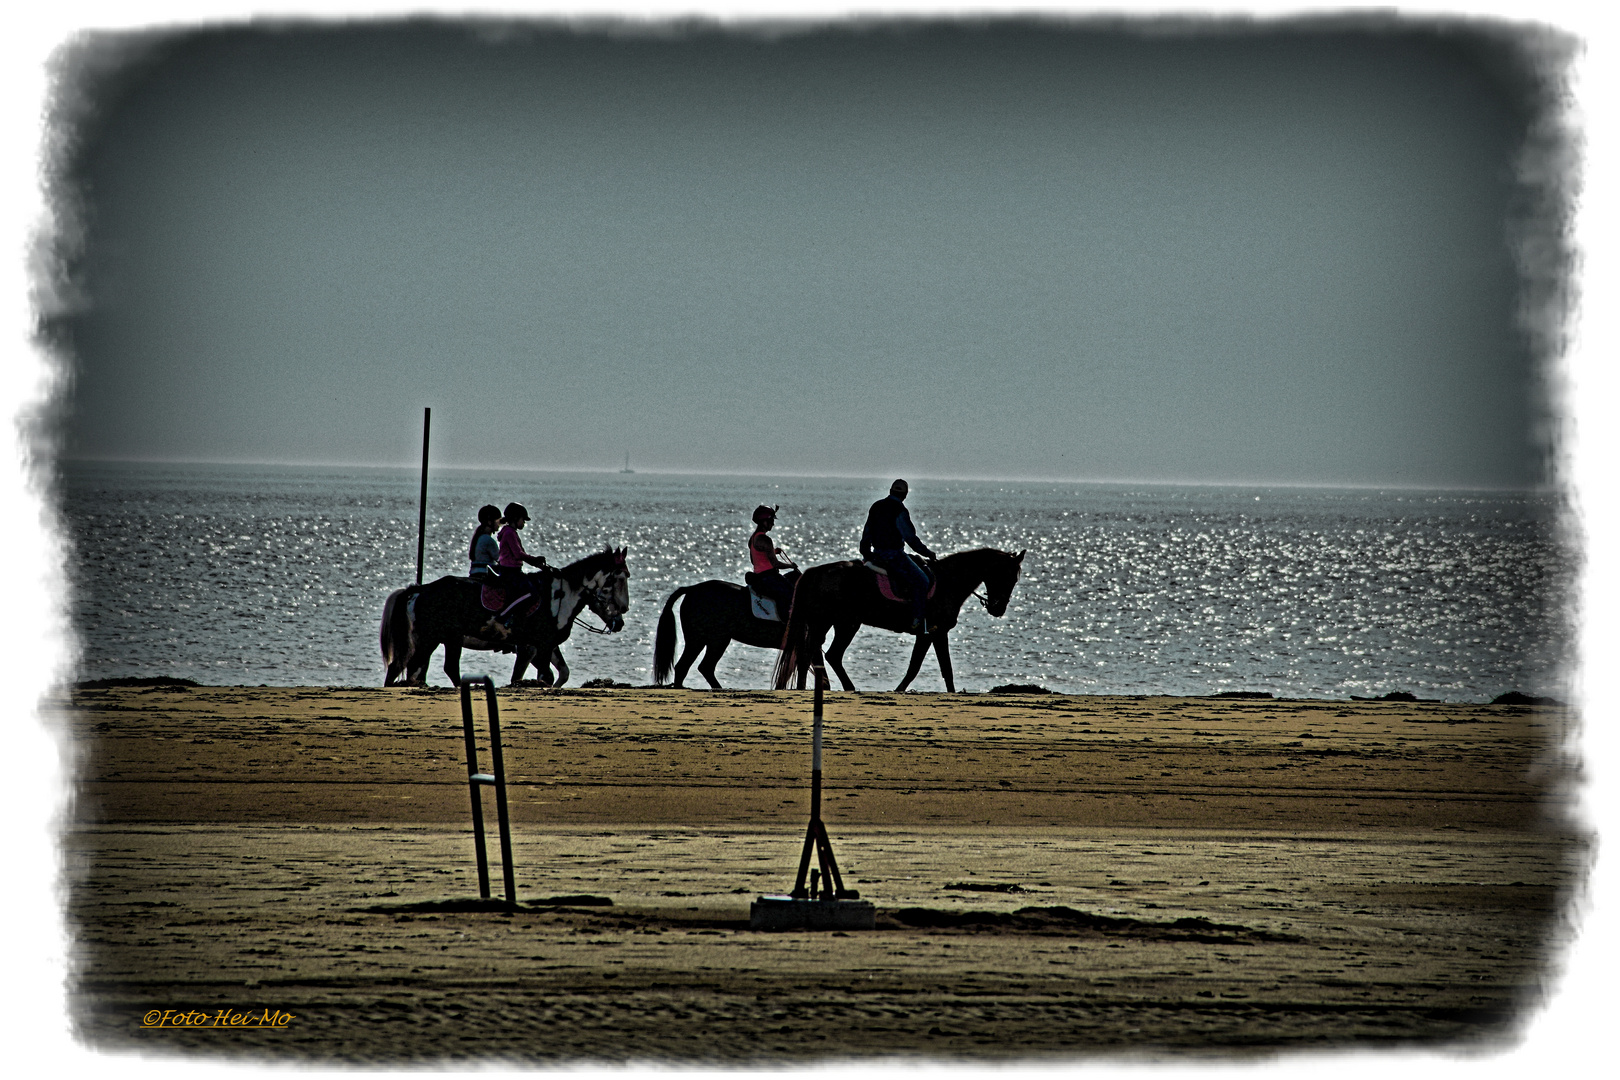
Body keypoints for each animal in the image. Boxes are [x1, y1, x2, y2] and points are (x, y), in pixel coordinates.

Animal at [382, 544, 628, 689]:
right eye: (619, 578)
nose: (621, 618)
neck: (559, 596)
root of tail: (420, 590)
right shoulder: (534, 647)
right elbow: (541, 676)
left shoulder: (546, 645)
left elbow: (562, 673)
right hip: (437, 638)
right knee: (425, 668)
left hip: (438, 639)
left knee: (407, 667)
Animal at [651, 582, 810, 693]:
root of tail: (691, 589)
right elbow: (803, 668)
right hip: (713, 640)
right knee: (700, 666)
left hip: (702, 640)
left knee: (689, 666)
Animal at [771, 550, 1023, 693]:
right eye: (1008, 575)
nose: (998, 608)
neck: (948, 581)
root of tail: (815, 572)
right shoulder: (931, 633)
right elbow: (920, 667)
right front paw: (900, 689)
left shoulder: (934, 634)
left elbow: (941, 668)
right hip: (844, 624)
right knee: (828, 655)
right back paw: (848, 687)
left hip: (825, 623)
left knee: (809, 654)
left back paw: (803, 689)